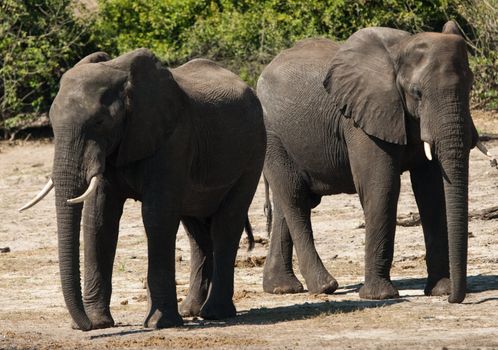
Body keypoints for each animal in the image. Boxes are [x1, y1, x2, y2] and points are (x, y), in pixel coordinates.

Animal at [20, 48, 266, 330]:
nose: (84, 325)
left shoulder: (173, 140)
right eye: (51, 123)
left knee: (227, 224)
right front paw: (100, 322)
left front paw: (160, 323)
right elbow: (99, 220)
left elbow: (156, 217)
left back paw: (215, 313)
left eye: (100, 121)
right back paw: (191, 310)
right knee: (196, 231)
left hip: (254, 153)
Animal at [256, 20, 478, 302]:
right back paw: (324, 286)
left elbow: (431, 192)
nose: (454, 299)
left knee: (289, 202)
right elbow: (382, 187)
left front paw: (441, 290)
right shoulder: (361, 119)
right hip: (272, 135)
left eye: (470, 87)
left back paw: (282, 288)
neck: (400, 49)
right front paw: (380, 296)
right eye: (416, 92)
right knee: (294, 198)